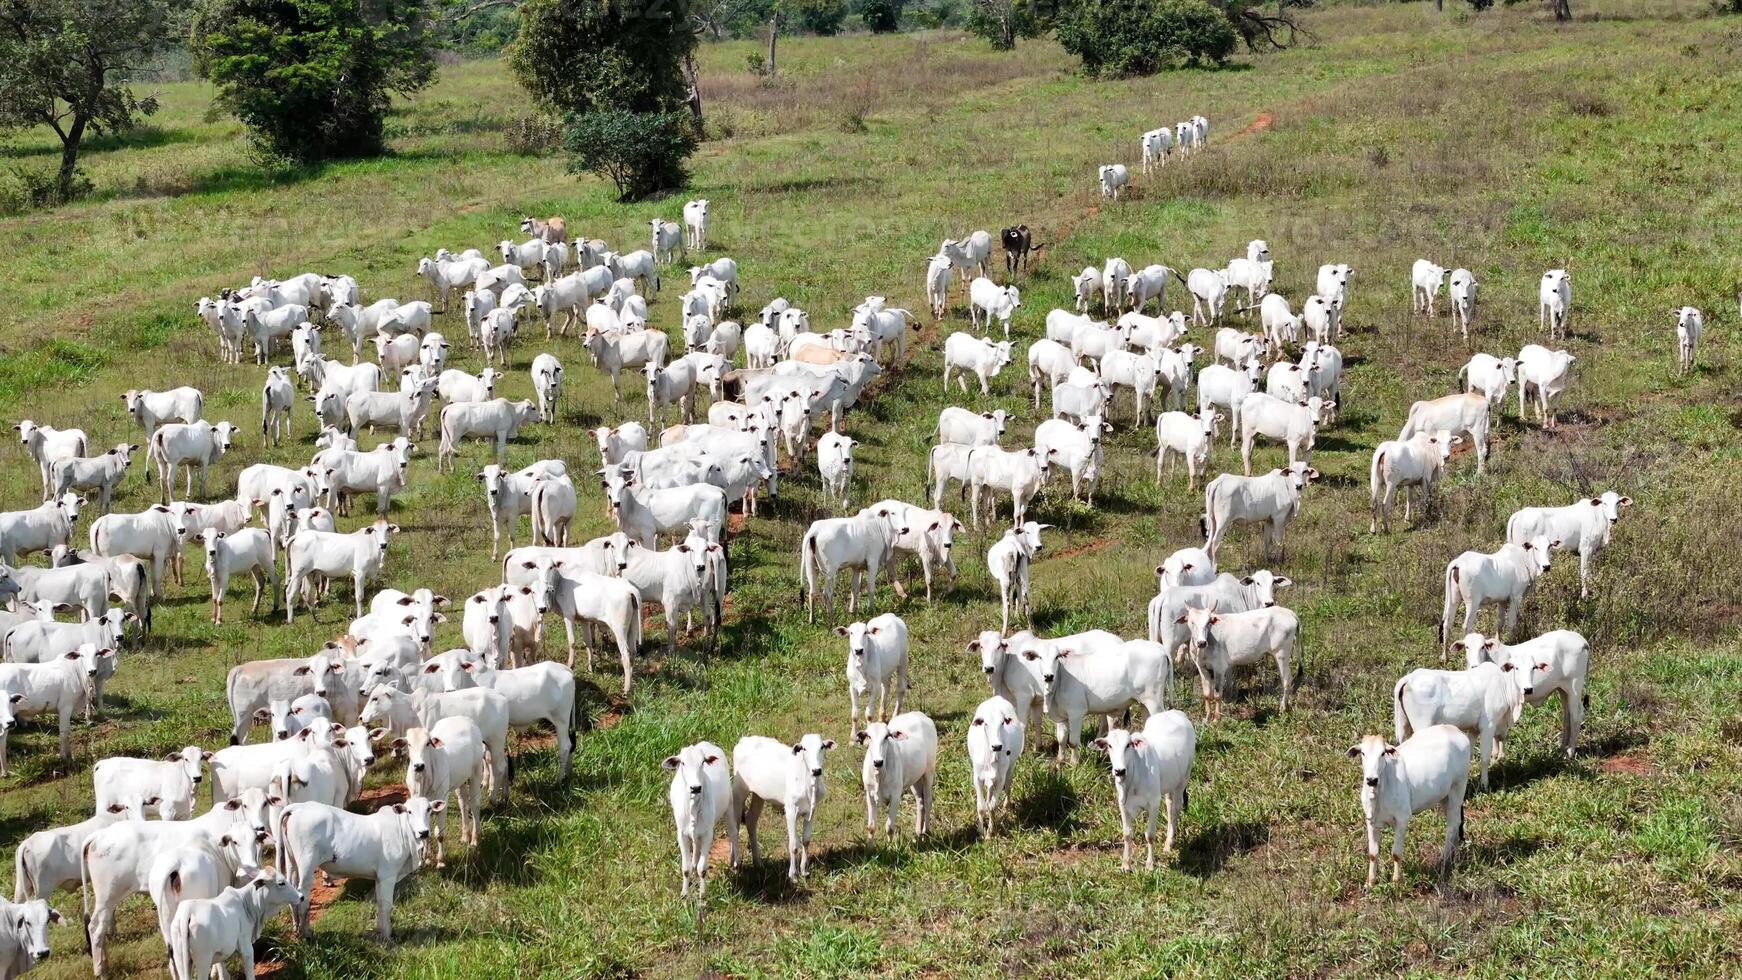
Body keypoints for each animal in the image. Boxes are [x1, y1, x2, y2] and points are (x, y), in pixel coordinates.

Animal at [721, 731, 829, 884]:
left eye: (822, 747)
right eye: (804, 748)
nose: (816, 770)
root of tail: (745, 740)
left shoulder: (812, 811)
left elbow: (806, 840)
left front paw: (804, 871)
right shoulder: (790, 811)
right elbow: (793, 845)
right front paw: (793, 875)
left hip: (758, 795)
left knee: (750, 820)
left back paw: (757, 862)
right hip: (739, 791)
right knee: (734, 826)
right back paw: (734, 864)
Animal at [1344, 727, 1470, 891]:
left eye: (1382, 753)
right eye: (1363, 753)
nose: (1371, 779)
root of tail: (1455, 730)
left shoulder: (1402, 819)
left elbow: (1396, 853)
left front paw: (1396, 882)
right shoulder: (1371, 821)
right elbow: (1373, 853)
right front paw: (1370, 883)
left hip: (1458, 788)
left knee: (1452, 826)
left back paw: (1444, 861)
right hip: (1445, 796)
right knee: (1456, 823)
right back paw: (1454, 858)